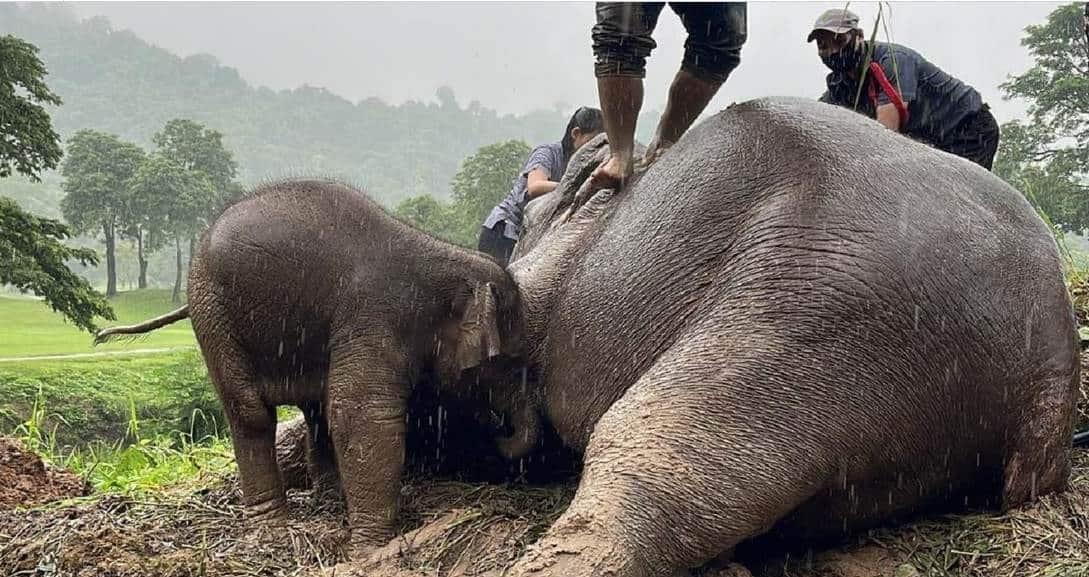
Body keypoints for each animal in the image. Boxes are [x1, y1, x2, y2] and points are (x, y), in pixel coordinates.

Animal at [94, 178, 539, 556]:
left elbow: (344, 410)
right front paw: (372, 549)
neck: (444, 255)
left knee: (315, 409)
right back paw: (272, 525)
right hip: (213, 311)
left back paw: (329, 500)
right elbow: (363, 413)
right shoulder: (374, 316)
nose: (500, 435)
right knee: (251, 412)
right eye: (510, 359)